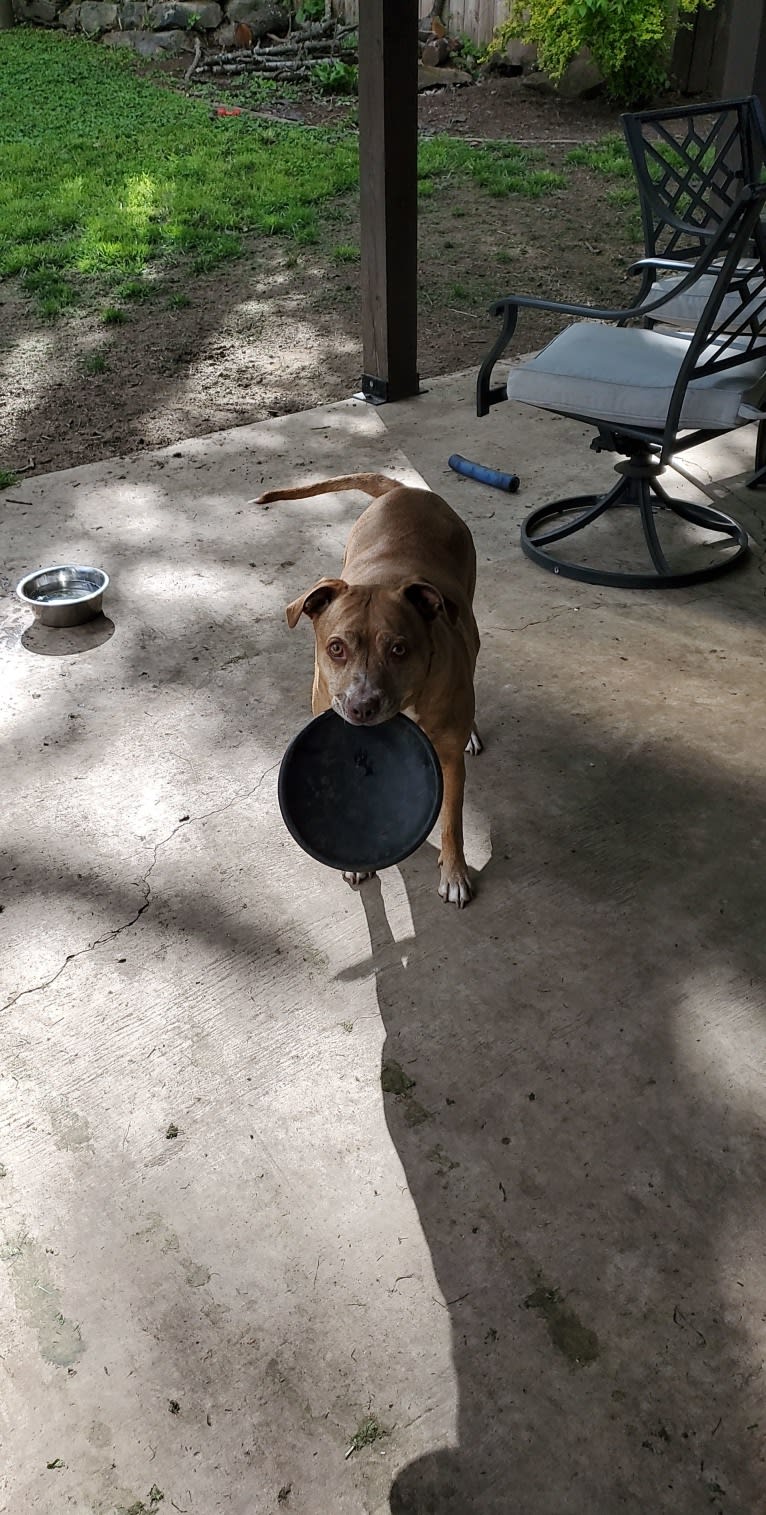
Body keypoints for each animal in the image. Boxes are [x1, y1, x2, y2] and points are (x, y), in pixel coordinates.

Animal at [260, 472, 481, 902]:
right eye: (336, 648)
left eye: (399, 649)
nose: (361, 707)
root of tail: (406, 490)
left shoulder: (449, 760)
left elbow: (452, 820)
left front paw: (455, 873)